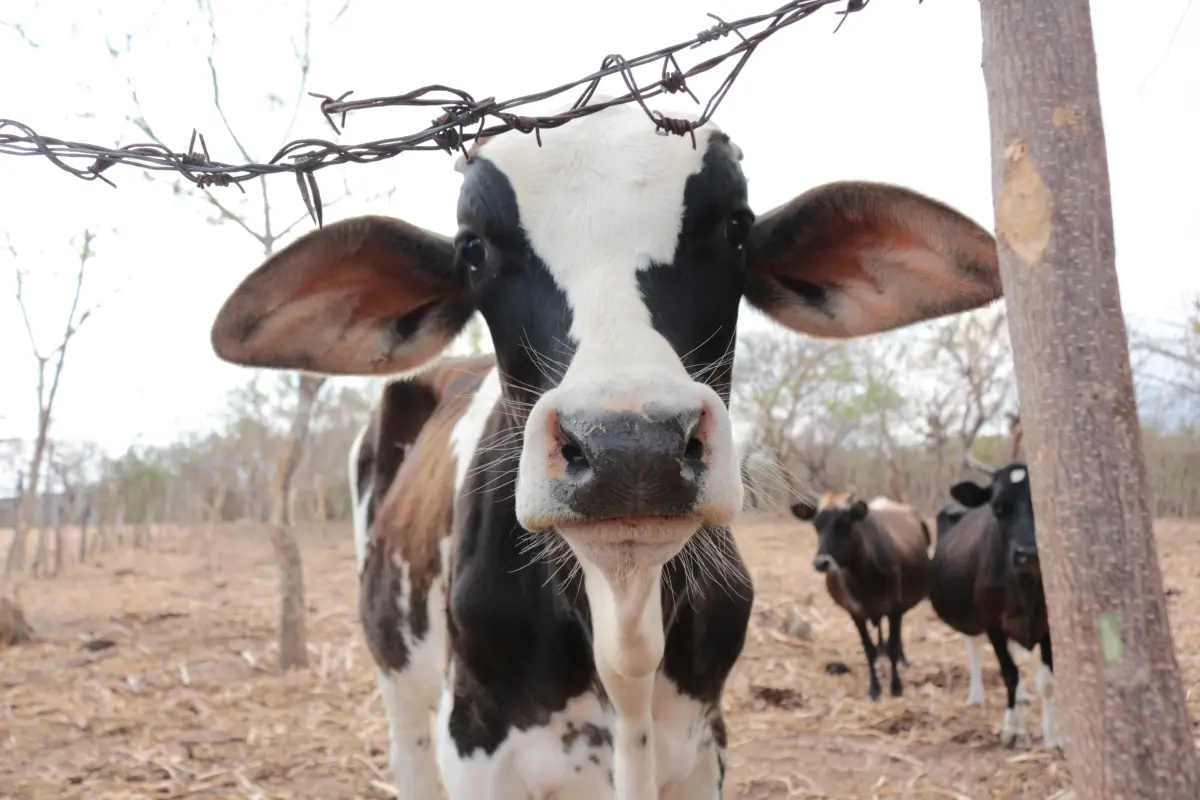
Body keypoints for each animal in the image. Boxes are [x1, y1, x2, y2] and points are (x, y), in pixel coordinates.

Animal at [792, 491, 931, 705]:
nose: (821, 563)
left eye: (845, 522)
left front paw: (896, 686)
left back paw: (901, 659)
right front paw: (874, 688)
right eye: (816, 524)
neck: (863, 576)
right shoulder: (855, 612)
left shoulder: (895, 607)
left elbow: (893, 645)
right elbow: (868, 650)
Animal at [926, 455, 1060, 753]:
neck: (1026, 587)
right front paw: (1013, 730)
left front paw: (1054, 736)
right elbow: (1009, 673)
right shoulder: (992, 625)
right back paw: (977, 695)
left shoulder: (1049, 626)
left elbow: (1047, 681)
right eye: (998, 508)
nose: (1028, 553)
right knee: (973, 646)